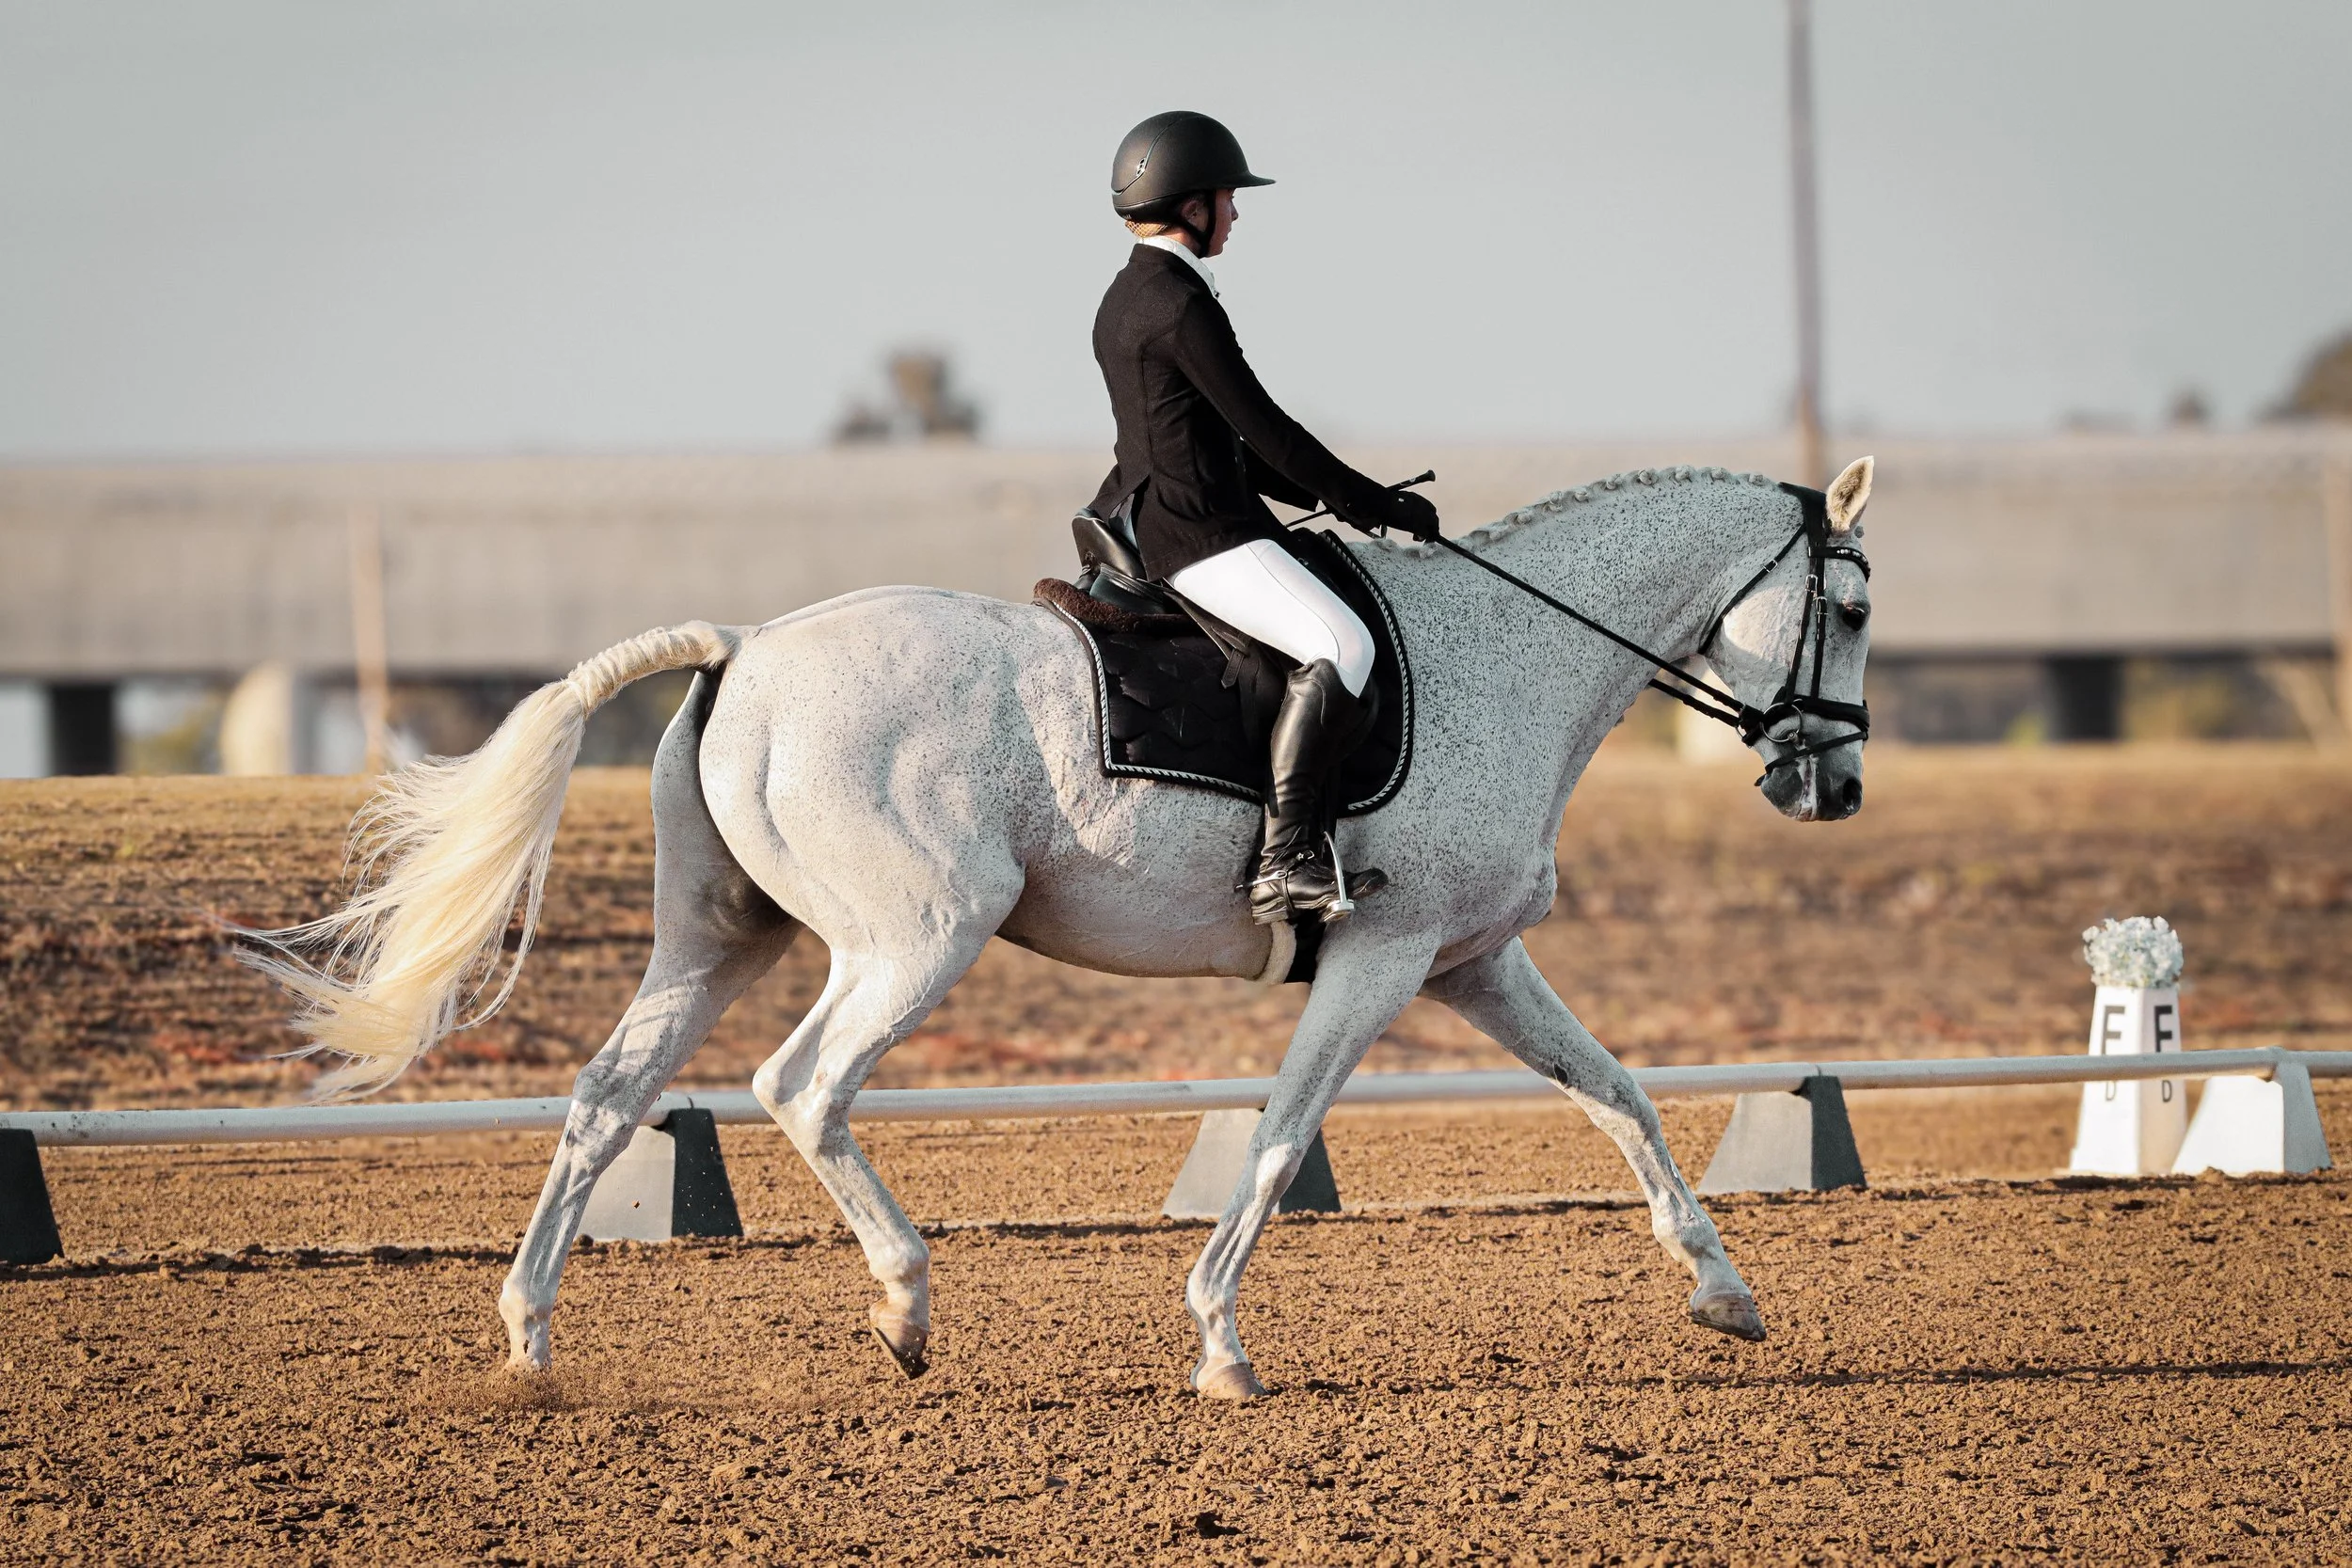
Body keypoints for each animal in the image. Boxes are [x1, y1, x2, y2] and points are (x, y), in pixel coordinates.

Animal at [243, 455, 1877, 1399]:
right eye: (1854, 606)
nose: (1837, 785)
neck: (1513, 650)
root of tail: (748, 647)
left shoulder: (1473, 960)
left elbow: (1621, 1095)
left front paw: (1724, 1290)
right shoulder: (1384, 956)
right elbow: (1282, 1134)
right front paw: (1219, 1344)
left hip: (723, 938)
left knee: (607, 1095)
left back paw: (529, 1341)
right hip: (916, 934)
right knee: (801, 1086)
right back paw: (903, 1305)